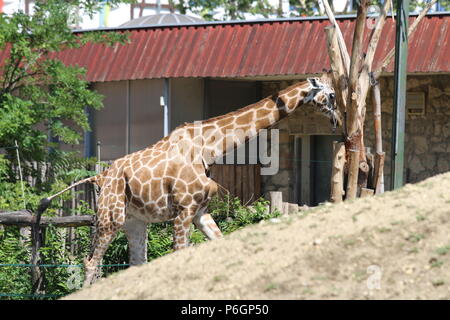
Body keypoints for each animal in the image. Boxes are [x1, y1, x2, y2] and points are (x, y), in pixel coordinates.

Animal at [41, 75, 342, 288]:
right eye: (331, 95)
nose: (338, 121)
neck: (209, 148)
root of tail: (101, 175)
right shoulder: (183, 211)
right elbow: (178, 254)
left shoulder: (200, 211)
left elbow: (219, 243)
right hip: (110, 215)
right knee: (91, 260)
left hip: (134, 220)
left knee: (136, 263)